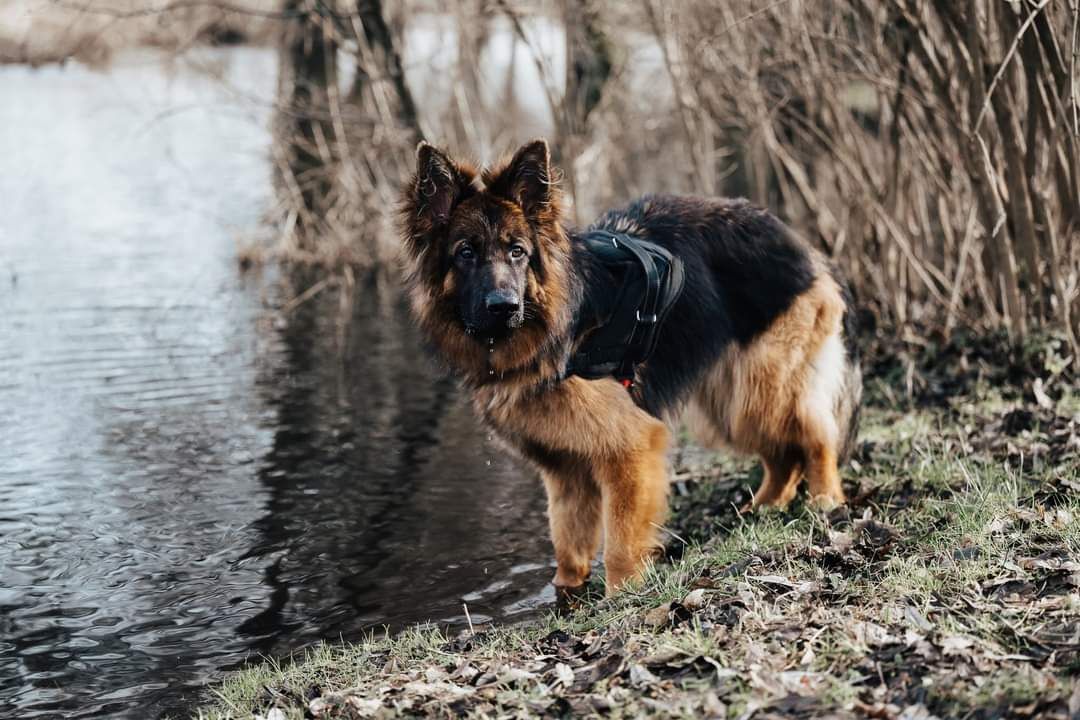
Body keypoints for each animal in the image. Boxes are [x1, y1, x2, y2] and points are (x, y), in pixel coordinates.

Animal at [397, 138, 859, 595]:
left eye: (517, 252)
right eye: (465, 253)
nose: (504, 307)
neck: (553, 327)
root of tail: (798, 241)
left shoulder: (630, 447)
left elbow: (620, 540)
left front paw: (621, 594)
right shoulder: (565, 469)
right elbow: (567, 544)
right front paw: (566, 593)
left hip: (762, 390)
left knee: (816, 437)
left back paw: (824, 499)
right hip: (732, 405)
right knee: (782, 454)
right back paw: (762, 507)